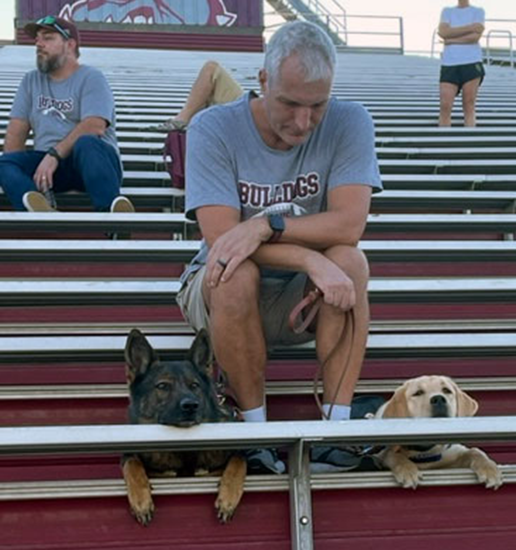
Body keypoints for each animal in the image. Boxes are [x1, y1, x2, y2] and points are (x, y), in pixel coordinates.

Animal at [121, 330, 246, 528]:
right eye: (162, 386)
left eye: (194, 385)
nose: (191, 406)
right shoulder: (134, 458)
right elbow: (132, 462)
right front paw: (141, 501)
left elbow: (238, 460)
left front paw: (228, 498)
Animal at [372, 378, 502, 490]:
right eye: (418, 393)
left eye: (446, 390)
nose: (439, 399)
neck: (427, 451)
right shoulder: (380, 454)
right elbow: (394, 455)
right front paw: (407, 469)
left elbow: (475, 451)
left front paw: (489, 468)